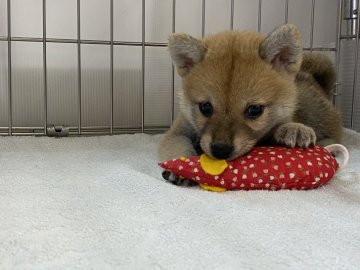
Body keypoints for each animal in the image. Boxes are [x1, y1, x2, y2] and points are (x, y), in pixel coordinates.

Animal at [159, 23, 342, 186]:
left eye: (254, 110)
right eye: (205, 107)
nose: (220, 149)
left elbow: (281, 125)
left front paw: (294, 129)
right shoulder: (177, 132)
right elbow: (179, 147)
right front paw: (181, 166)